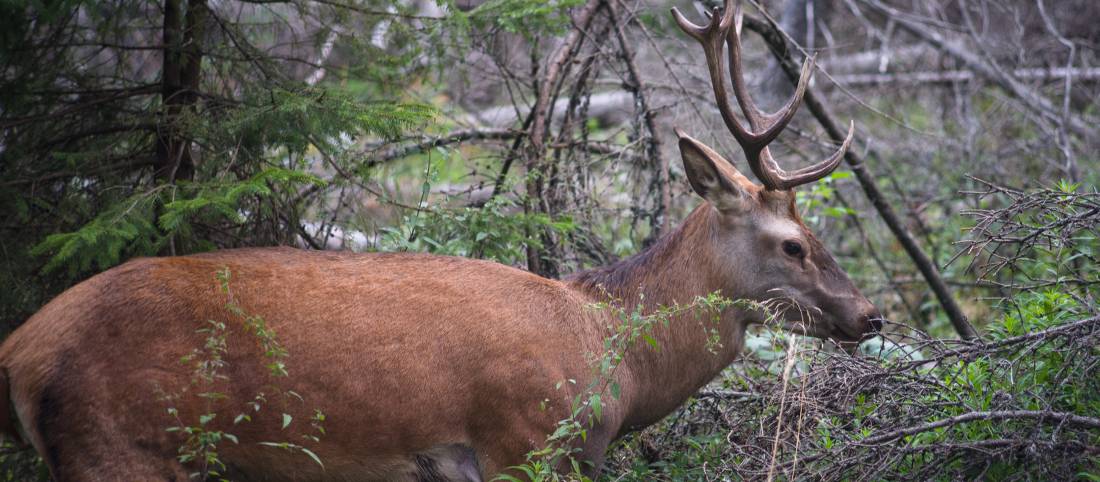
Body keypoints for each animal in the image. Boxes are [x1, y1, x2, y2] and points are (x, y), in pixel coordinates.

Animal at [0, 1, 875, 479]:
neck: (612, 354)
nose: (870, 314)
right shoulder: (525, 441)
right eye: (793, 244)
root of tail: (20, 351)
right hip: (122, 446)